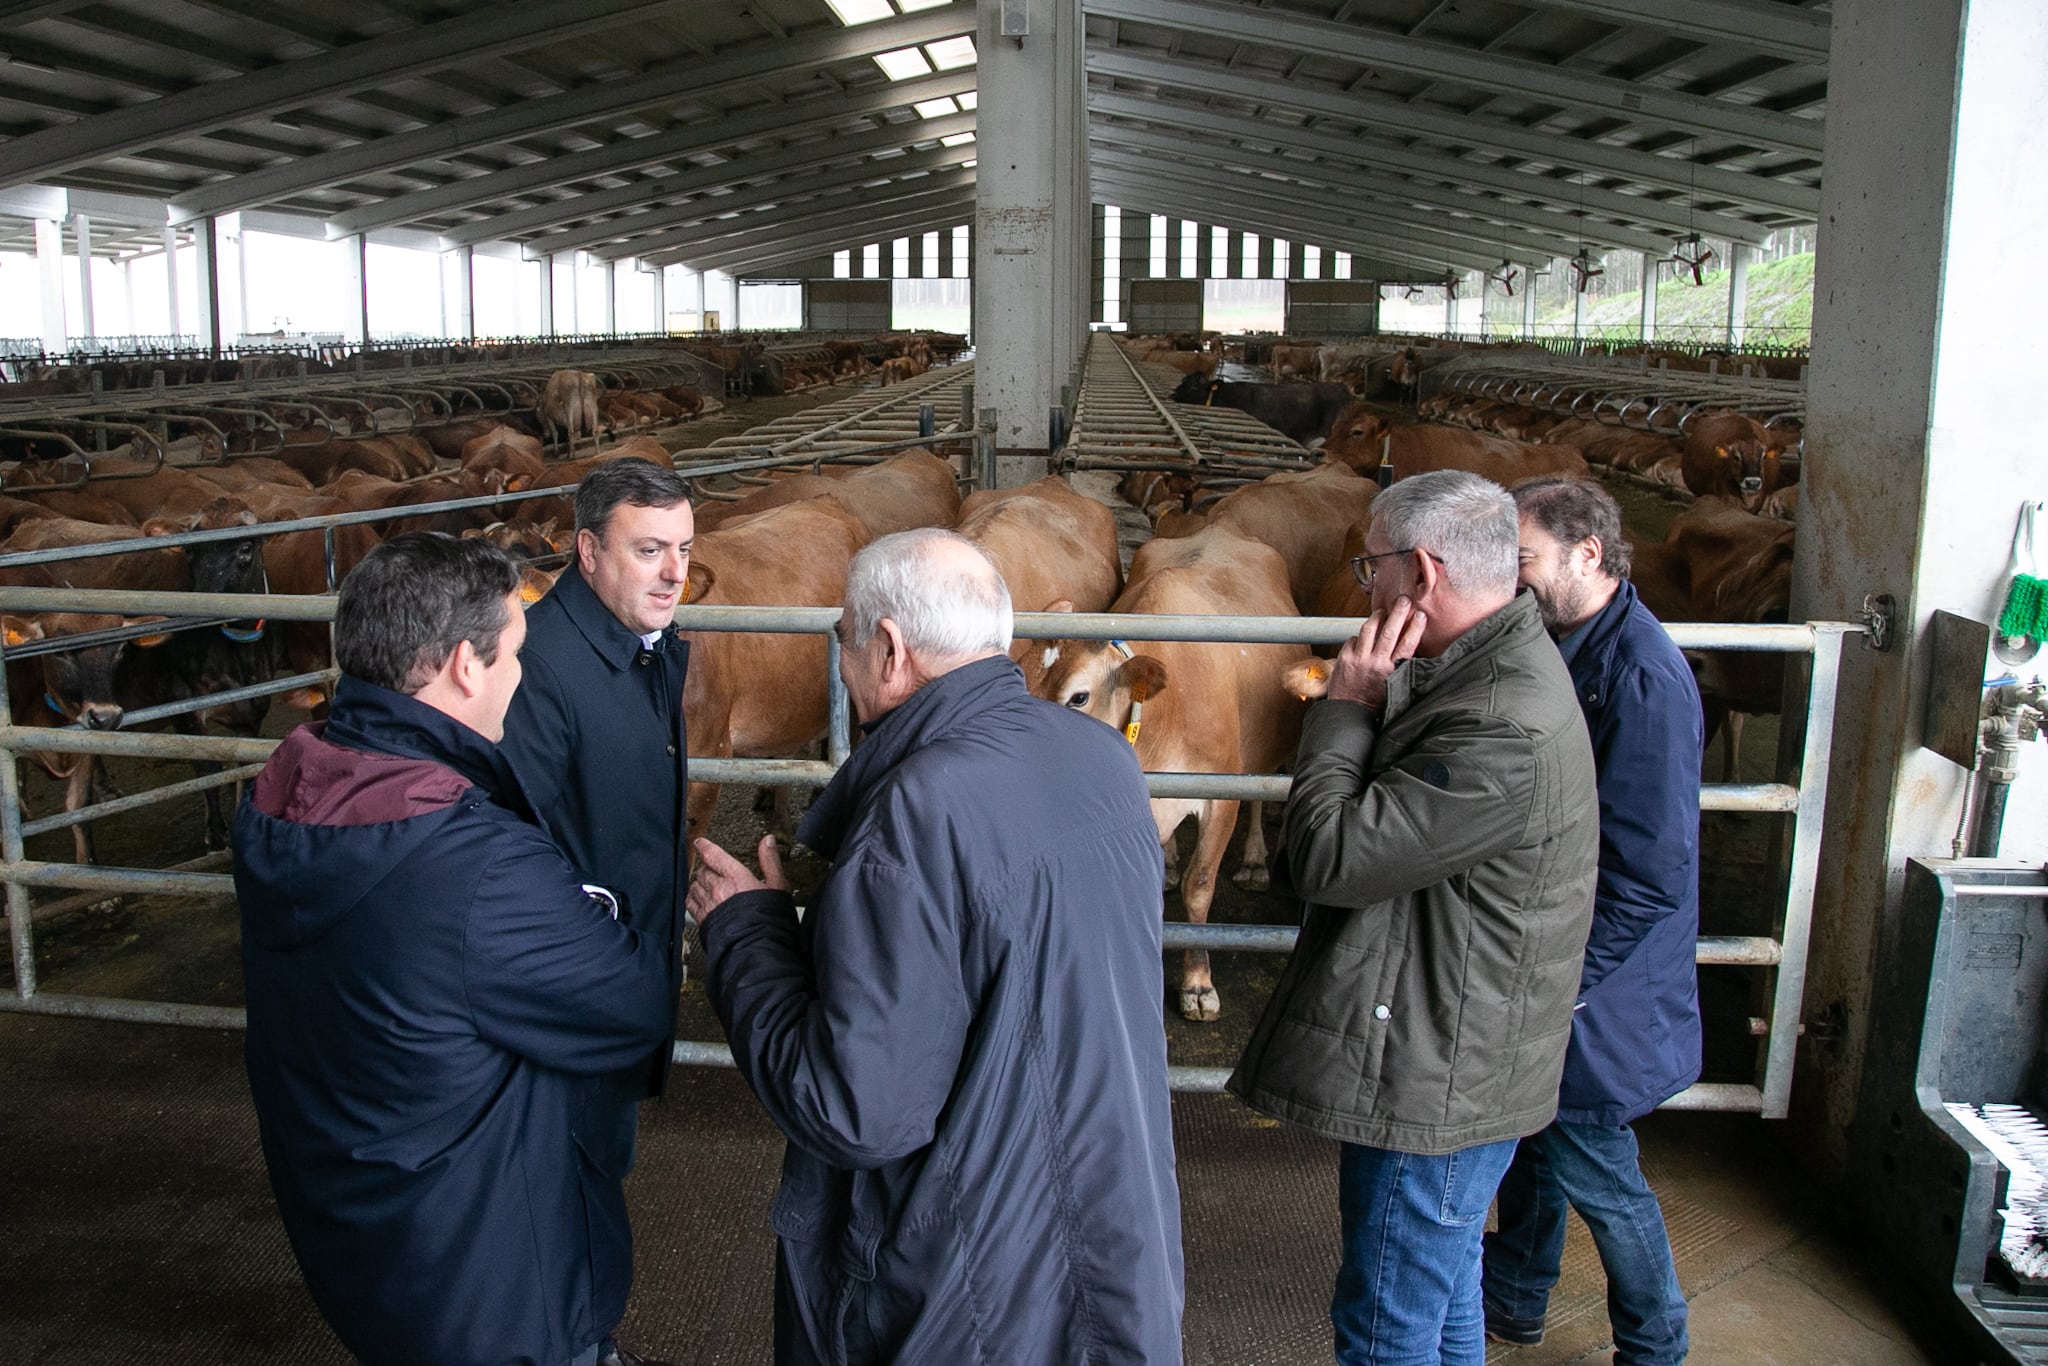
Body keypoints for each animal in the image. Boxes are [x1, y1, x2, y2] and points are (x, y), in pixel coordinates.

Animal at [1032, 528, 1302, 1019]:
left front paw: (1197, 981)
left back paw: (1254, 860)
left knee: (1260, 794)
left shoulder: (1220, 798)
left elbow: (1200, 886)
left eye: (1078, 697)